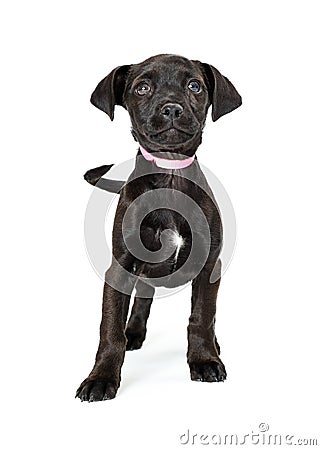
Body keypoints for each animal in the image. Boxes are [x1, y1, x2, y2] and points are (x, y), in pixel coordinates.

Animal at [75, 52, 240, 400]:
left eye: (194, 86)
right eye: (142, 88)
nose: (172, 108)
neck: (170, 172)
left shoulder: (209, 266)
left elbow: (202, 318)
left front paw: (205, 360)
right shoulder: (119, 268)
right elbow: (110, 329)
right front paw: (101, 378)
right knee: (143, 296)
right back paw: (134, 332)